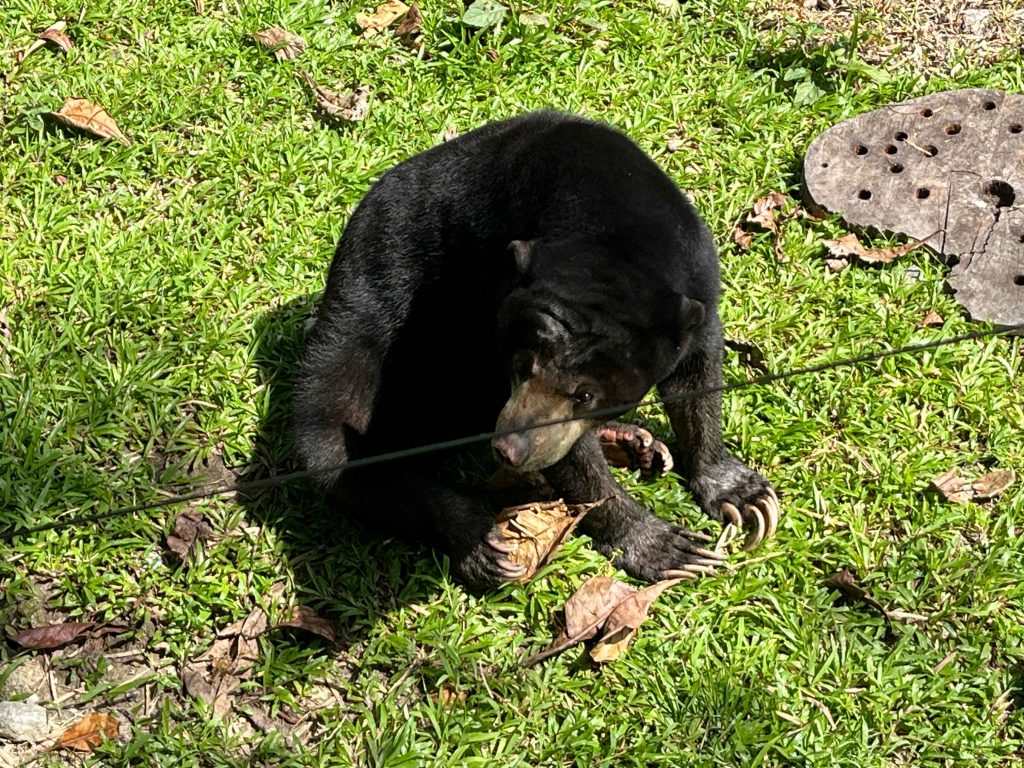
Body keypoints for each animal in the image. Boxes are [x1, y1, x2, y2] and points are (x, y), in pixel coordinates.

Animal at [293, 111, 779, 590]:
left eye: (585, 395)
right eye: (521, 366)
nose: (509, 450)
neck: (618, 244)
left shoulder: (697, 287)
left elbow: (697, 376)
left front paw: (746, 497)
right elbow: (573, 461)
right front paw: (666, 547)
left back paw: (632, 442)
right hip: (361, 321)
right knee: (332, 441)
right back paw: (480, 542)